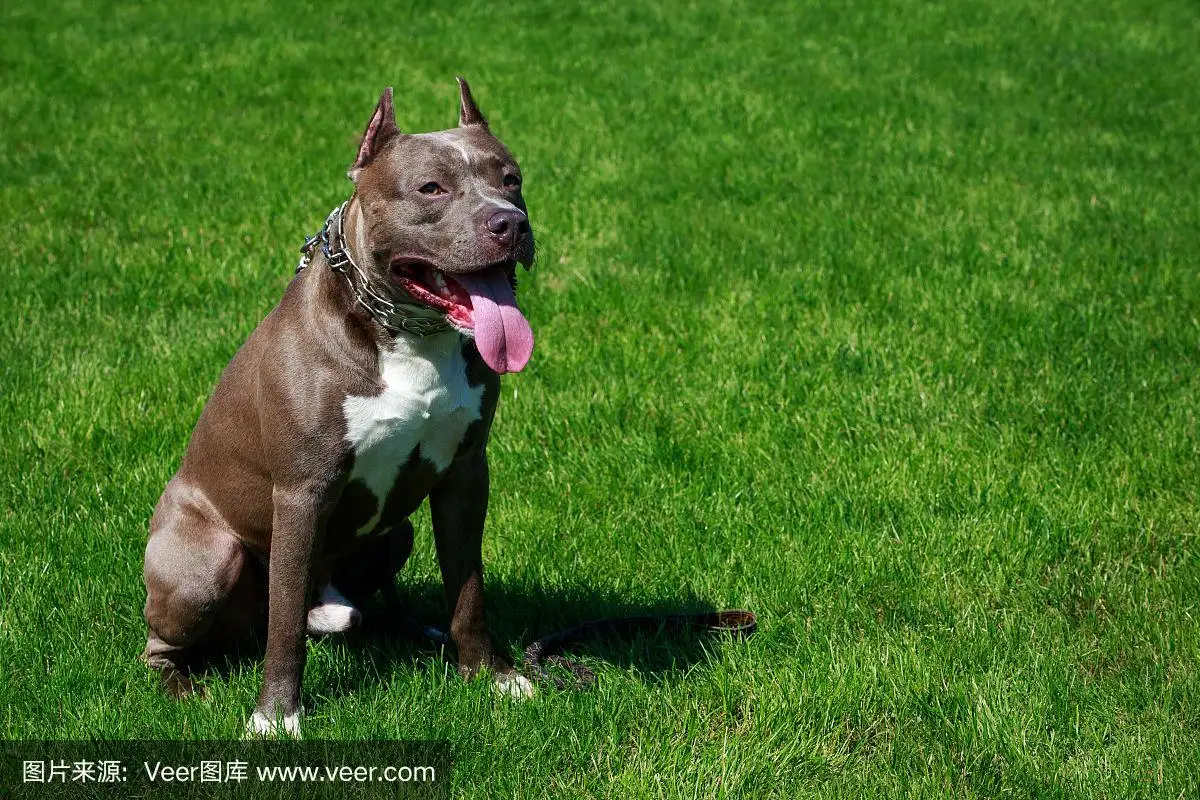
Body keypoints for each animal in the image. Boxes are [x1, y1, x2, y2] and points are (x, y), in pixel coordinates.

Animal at [138, 81, 537, 738]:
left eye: (512, 179)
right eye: (431, 188)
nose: (511, 223)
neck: (411, 334)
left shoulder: (464, 473)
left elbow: (468, 588)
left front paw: (491, 675)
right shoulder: (304, 490)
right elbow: (282, 630)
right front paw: (276, 716)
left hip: (397, 532)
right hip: (204, 565)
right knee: (178, 637)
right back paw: (180, 684)